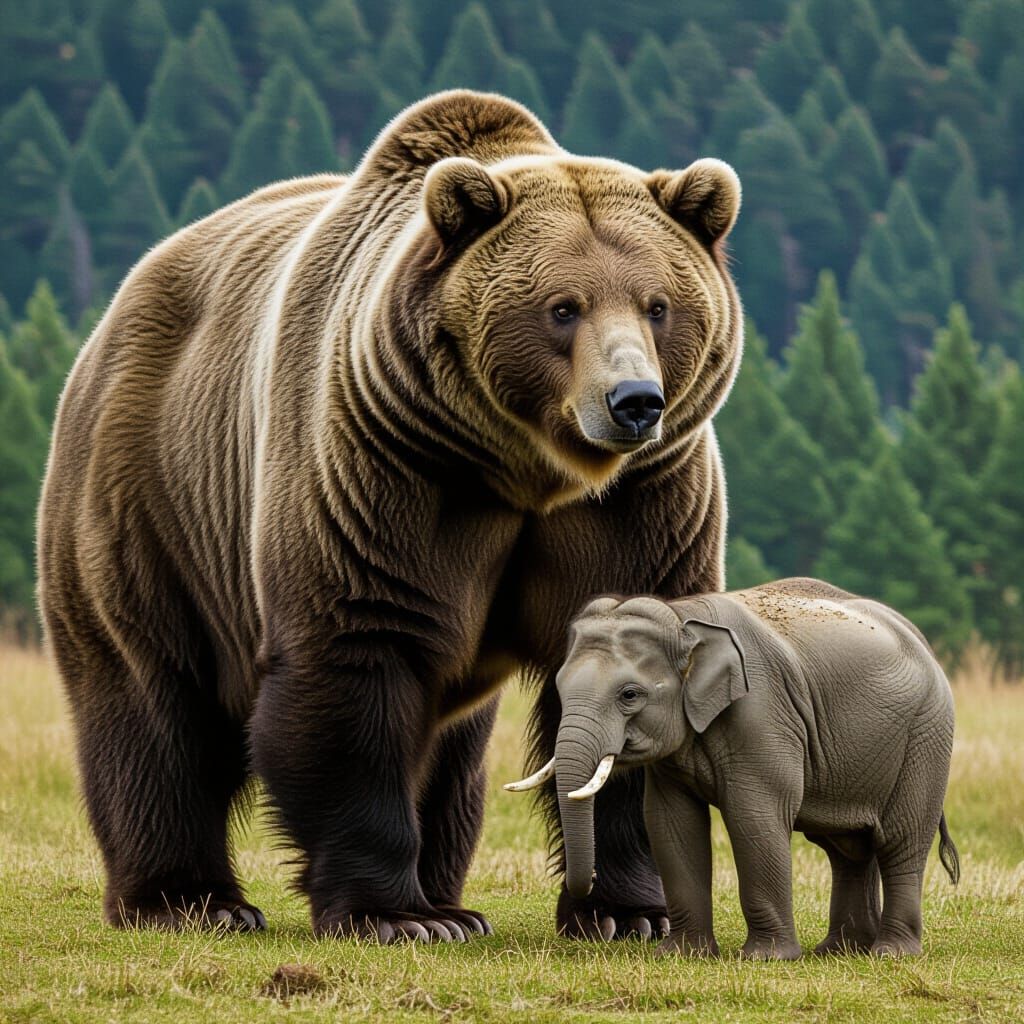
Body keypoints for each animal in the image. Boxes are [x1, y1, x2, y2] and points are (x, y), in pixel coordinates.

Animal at [37, 90, 743, 941]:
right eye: (563, 308)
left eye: (659, 305)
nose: (633, 401)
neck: (530, 474)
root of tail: (119, 306)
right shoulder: (387, 477)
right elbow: (355, 658)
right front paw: (392, 914)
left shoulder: (641, 504)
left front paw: (632, 912)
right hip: (149, 502)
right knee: (153, 703)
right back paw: (190, 900)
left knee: (451, 750)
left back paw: (450, 899)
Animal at [506, 578, 960, 958]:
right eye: (559, 688)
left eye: (629, 695)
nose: (591, 903)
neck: (681, 619)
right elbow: (670, 823)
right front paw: (682, 956)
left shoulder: (761, 711)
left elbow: (754, 815)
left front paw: (765, 959)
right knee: (846, 848)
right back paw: (840, 952)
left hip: (927, 734)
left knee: (900, 841)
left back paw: (890, 954)